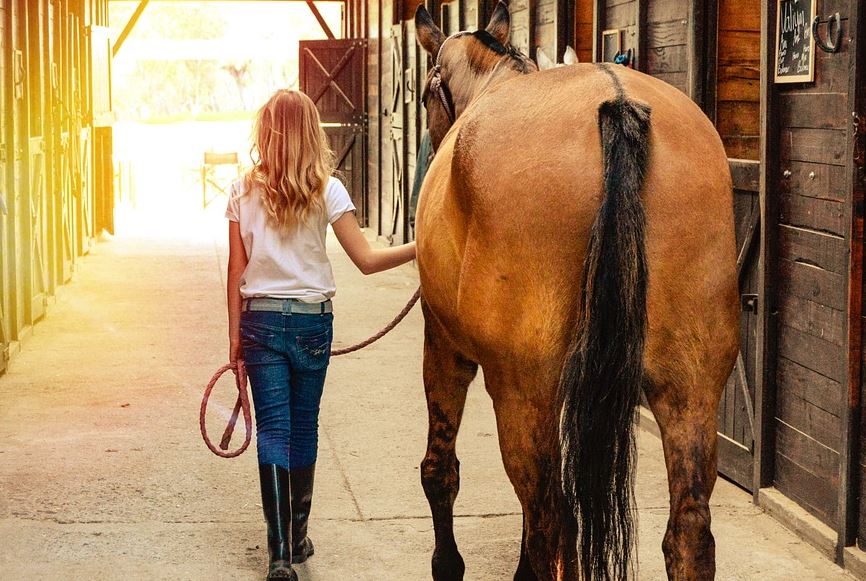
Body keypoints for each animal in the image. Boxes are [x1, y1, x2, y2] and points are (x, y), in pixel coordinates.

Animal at [412, 2, 736, 576]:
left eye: (428, 93)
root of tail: (616, 104)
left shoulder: (444, 346)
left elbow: (440, 469)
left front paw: (447, 565)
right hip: (691, 388)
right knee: (688, 531)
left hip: (523, 392)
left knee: (551, 520)